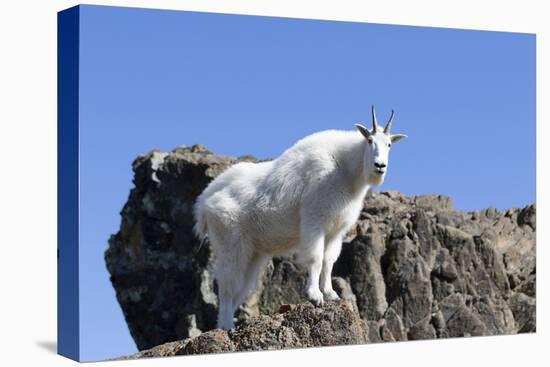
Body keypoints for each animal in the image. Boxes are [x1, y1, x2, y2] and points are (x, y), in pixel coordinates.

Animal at [196, 106, 408, 330]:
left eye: (389, 144)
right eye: (369, 140)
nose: (380, 166)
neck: (345, 169)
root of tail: (204, 202)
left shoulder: (336, 231)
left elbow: (329, 260)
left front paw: (331, 294)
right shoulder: (314, 221)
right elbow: (316, 258)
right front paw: (314, 295)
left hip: (254, 252)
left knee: (241, 288)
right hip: (230, 241)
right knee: (227, 285)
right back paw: (227, 326)